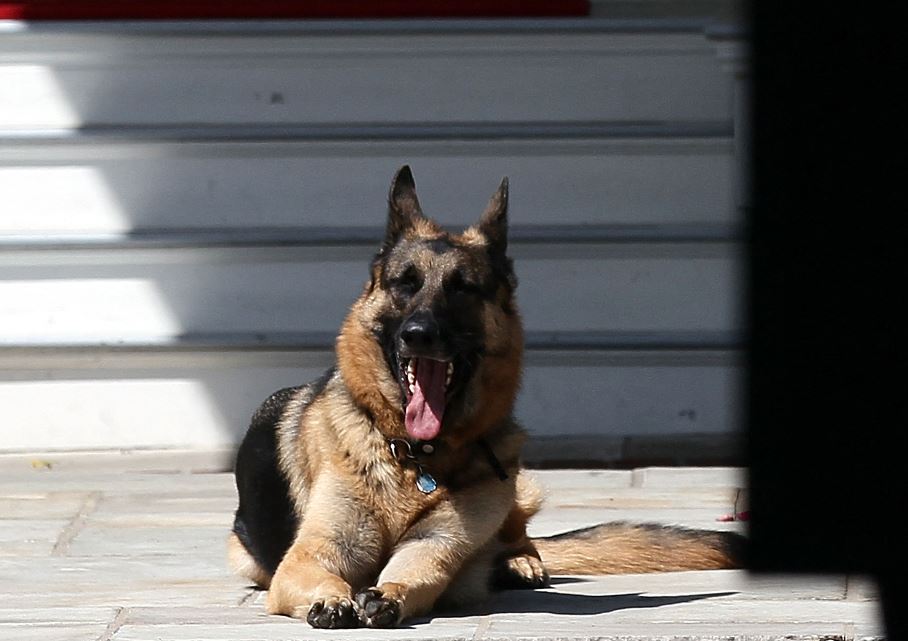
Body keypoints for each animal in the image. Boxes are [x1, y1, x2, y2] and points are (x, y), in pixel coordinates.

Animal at [227, 164, 744, 624]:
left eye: (462, 289)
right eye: (404, 284)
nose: (419, 334)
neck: (416, 458)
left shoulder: (436, 546)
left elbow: (417, 574)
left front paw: (389, 593)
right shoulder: (310, 557)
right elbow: (322, 576)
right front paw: (332, 599)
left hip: (517, 485)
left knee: (518, 538)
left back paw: (520, 561)